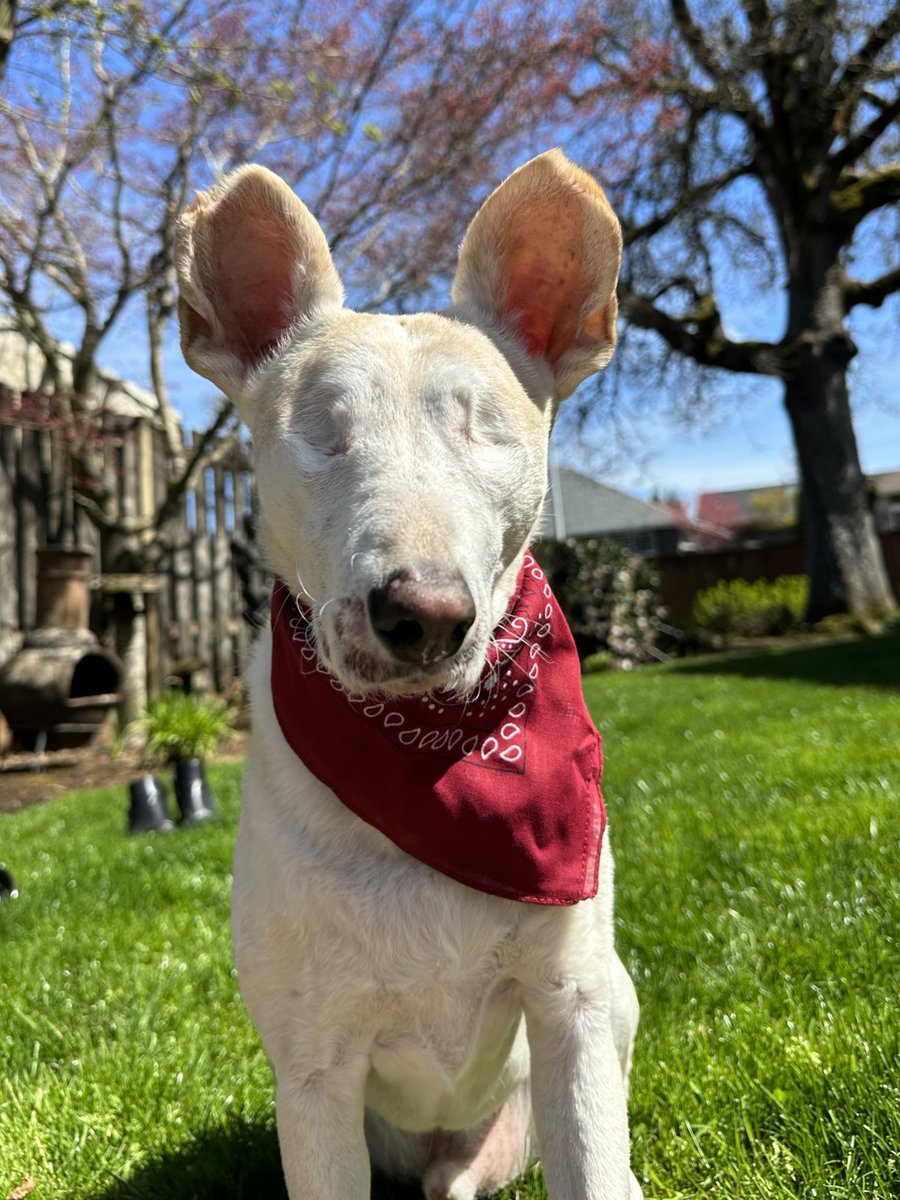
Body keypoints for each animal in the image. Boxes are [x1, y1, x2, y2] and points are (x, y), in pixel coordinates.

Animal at [175, 150, 642, 1200]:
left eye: (484, 428)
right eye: (323, 431)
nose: (423, 613)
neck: (440, 764)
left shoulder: (571, 1004)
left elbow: (597, 1163)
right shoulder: (313, 1072)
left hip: (611, 1013)